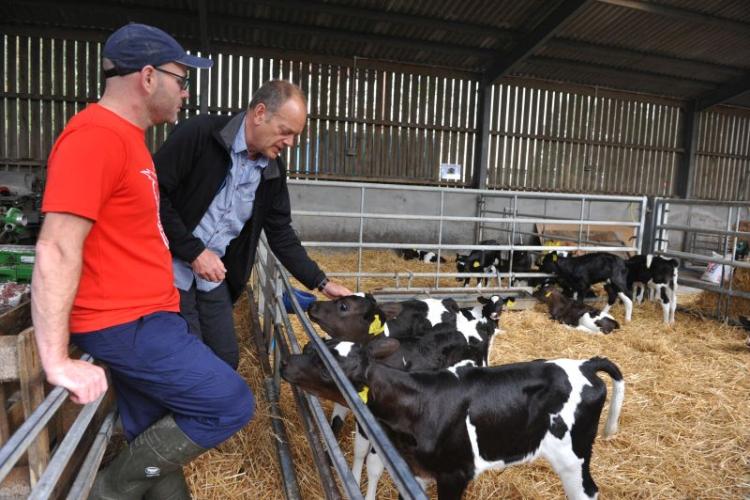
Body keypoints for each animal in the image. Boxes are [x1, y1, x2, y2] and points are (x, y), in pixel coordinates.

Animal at [288, 336, 624, 500]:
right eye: (309, 348)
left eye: (325, 367)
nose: (286, 362)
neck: (420, 402)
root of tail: (585, 364)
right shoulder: (417, 471)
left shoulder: (455, 474)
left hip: (573, 455)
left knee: (587, 492)